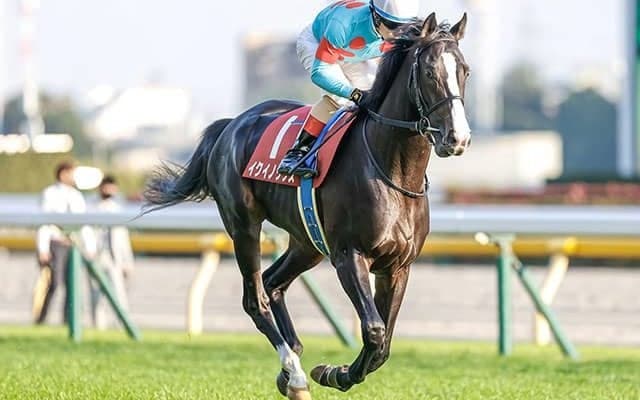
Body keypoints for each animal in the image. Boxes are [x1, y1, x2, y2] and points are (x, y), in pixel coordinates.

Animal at [144, 13, 471, 399]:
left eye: (465, 71)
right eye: (430, 72)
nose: (457, 138)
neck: (393, 172)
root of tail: (230, 126)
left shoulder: (398, 267)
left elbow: (384, 345)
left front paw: (336, 371)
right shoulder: (349, 255)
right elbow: (374, 330)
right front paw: (334, 373)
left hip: (307, 242)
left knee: (273, 284)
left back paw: (291, 366)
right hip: (244, 226)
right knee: (255, 298)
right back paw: (296, 373)